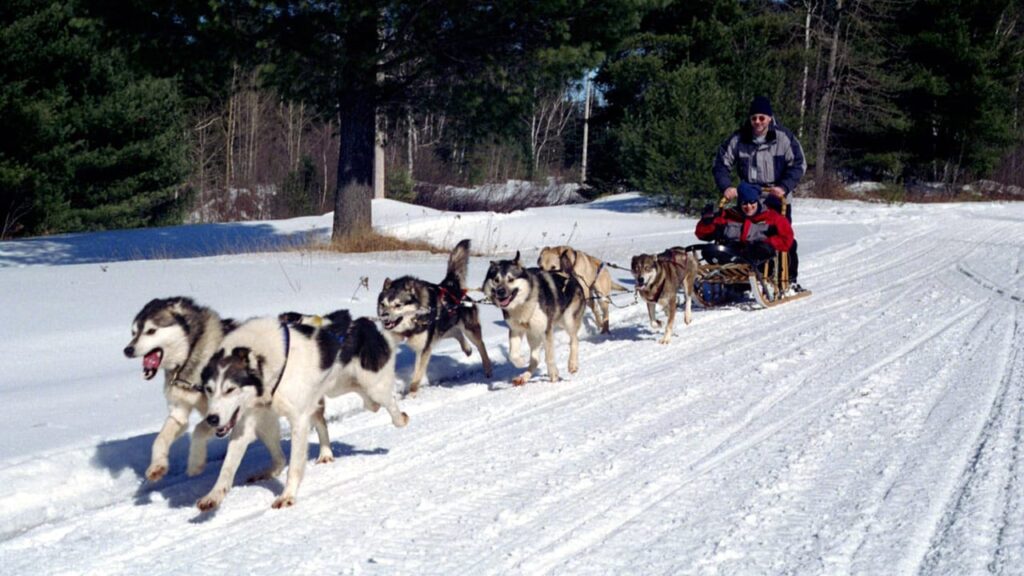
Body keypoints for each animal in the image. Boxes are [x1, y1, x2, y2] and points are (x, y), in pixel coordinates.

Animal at [122, 295, 236, 479]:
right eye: (133, 333)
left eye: (151, 331)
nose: (128, 350)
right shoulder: (179, 411)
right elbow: (160, 439)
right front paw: (157, 465)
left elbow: (198, 430)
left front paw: (195, 462)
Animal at [197, 307, 405, 508]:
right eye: (209, 389)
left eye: (230, 389)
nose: (212, 419)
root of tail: (365, 323)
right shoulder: (248, 421)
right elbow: (228, 466)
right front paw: (214, 495)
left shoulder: (298, 419)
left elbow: (295, 466)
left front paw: (287, 496)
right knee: (315, 428)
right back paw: (319, 455)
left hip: (374, 388)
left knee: (389, 404)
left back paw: (401, 418)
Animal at [378, 237, 493, 393]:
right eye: (383, 304)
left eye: (398, 305)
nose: (384, 316)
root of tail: (451, 287)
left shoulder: (424, 349)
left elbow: (417, 376)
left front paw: (411, 393)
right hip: (443, 329)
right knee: (456, 332)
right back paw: (467, 349)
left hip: (469, 329)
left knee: (481, 345)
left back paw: (487, 368)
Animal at [479, 249, 585, 383]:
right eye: (496, 280)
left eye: (511, 279)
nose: (500, 292)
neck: (522, 304)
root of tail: (569, 275)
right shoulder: (515, 330)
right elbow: (512, 355)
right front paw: (521, 361)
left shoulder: (546, 330)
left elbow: (549, 356)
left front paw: (553, 374)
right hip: (533, 335)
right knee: (535, 359)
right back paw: (524, 377)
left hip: (568, 321)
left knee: (574, 341)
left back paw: (572, 364)